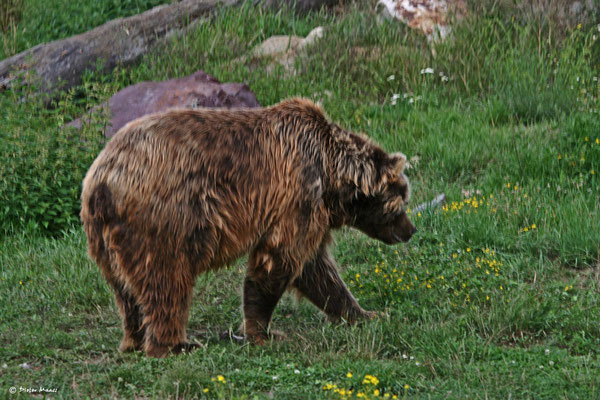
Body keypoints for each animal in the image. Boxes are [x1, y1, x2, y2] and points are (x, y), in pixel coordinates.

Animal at [81, 97, 418, 356]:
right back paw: (176, 344)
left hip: (105, 239)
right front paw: (263, 332)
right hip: (164, 219)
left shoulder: (310, 210)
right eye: (402, 201)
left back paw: (134, 340)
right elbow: (277, 260)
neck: (330, 172)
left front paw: (365, 314)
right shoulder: (297, 193)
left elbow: (317, 271)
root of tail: (101, 179)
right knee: (166, 281)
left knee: (126, 292)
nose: (411, 230)